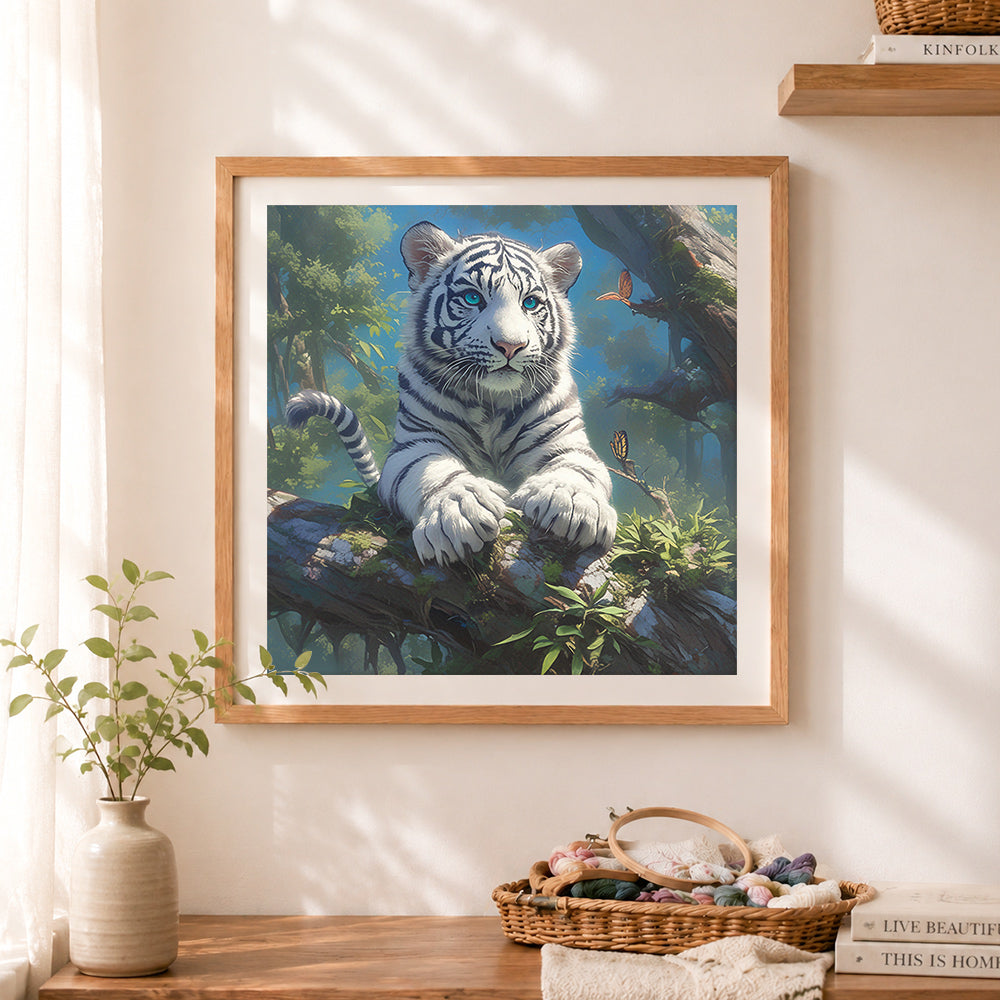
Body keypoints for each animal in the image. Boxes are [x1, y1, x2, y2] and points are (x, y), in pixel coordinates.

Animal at [285, 220, 617, 566]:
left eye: (530, 303)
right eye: (472, 298)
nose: (511, 346)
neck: (491, 401)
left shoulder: (563, 439)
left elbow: (577, 468)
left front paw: (573, 505)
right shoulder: (415, 443)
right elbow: (432, 473)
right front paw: (457, 512)